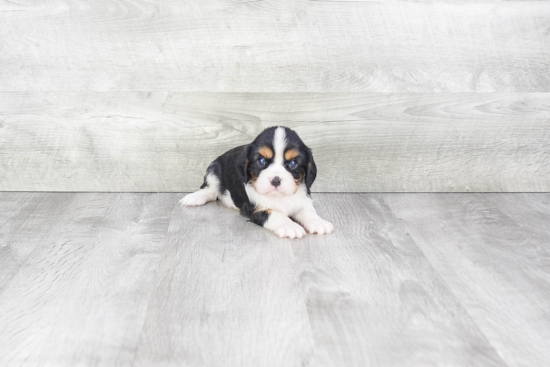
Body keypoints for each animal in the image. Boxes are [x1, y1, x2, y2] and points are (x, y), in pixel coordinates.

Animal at [183, 126, 334, 240]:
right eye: (261, 161)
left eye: (292, 163)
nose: (275, 179)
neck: (278, 197)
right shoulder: (257, 209)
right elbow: (276, 214)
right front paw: (290, 226)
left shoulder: (302, 201)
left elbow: (309, 212)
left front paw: (319, 222)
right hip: (214, 170)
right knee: (211, 191)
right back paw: (194, 198)